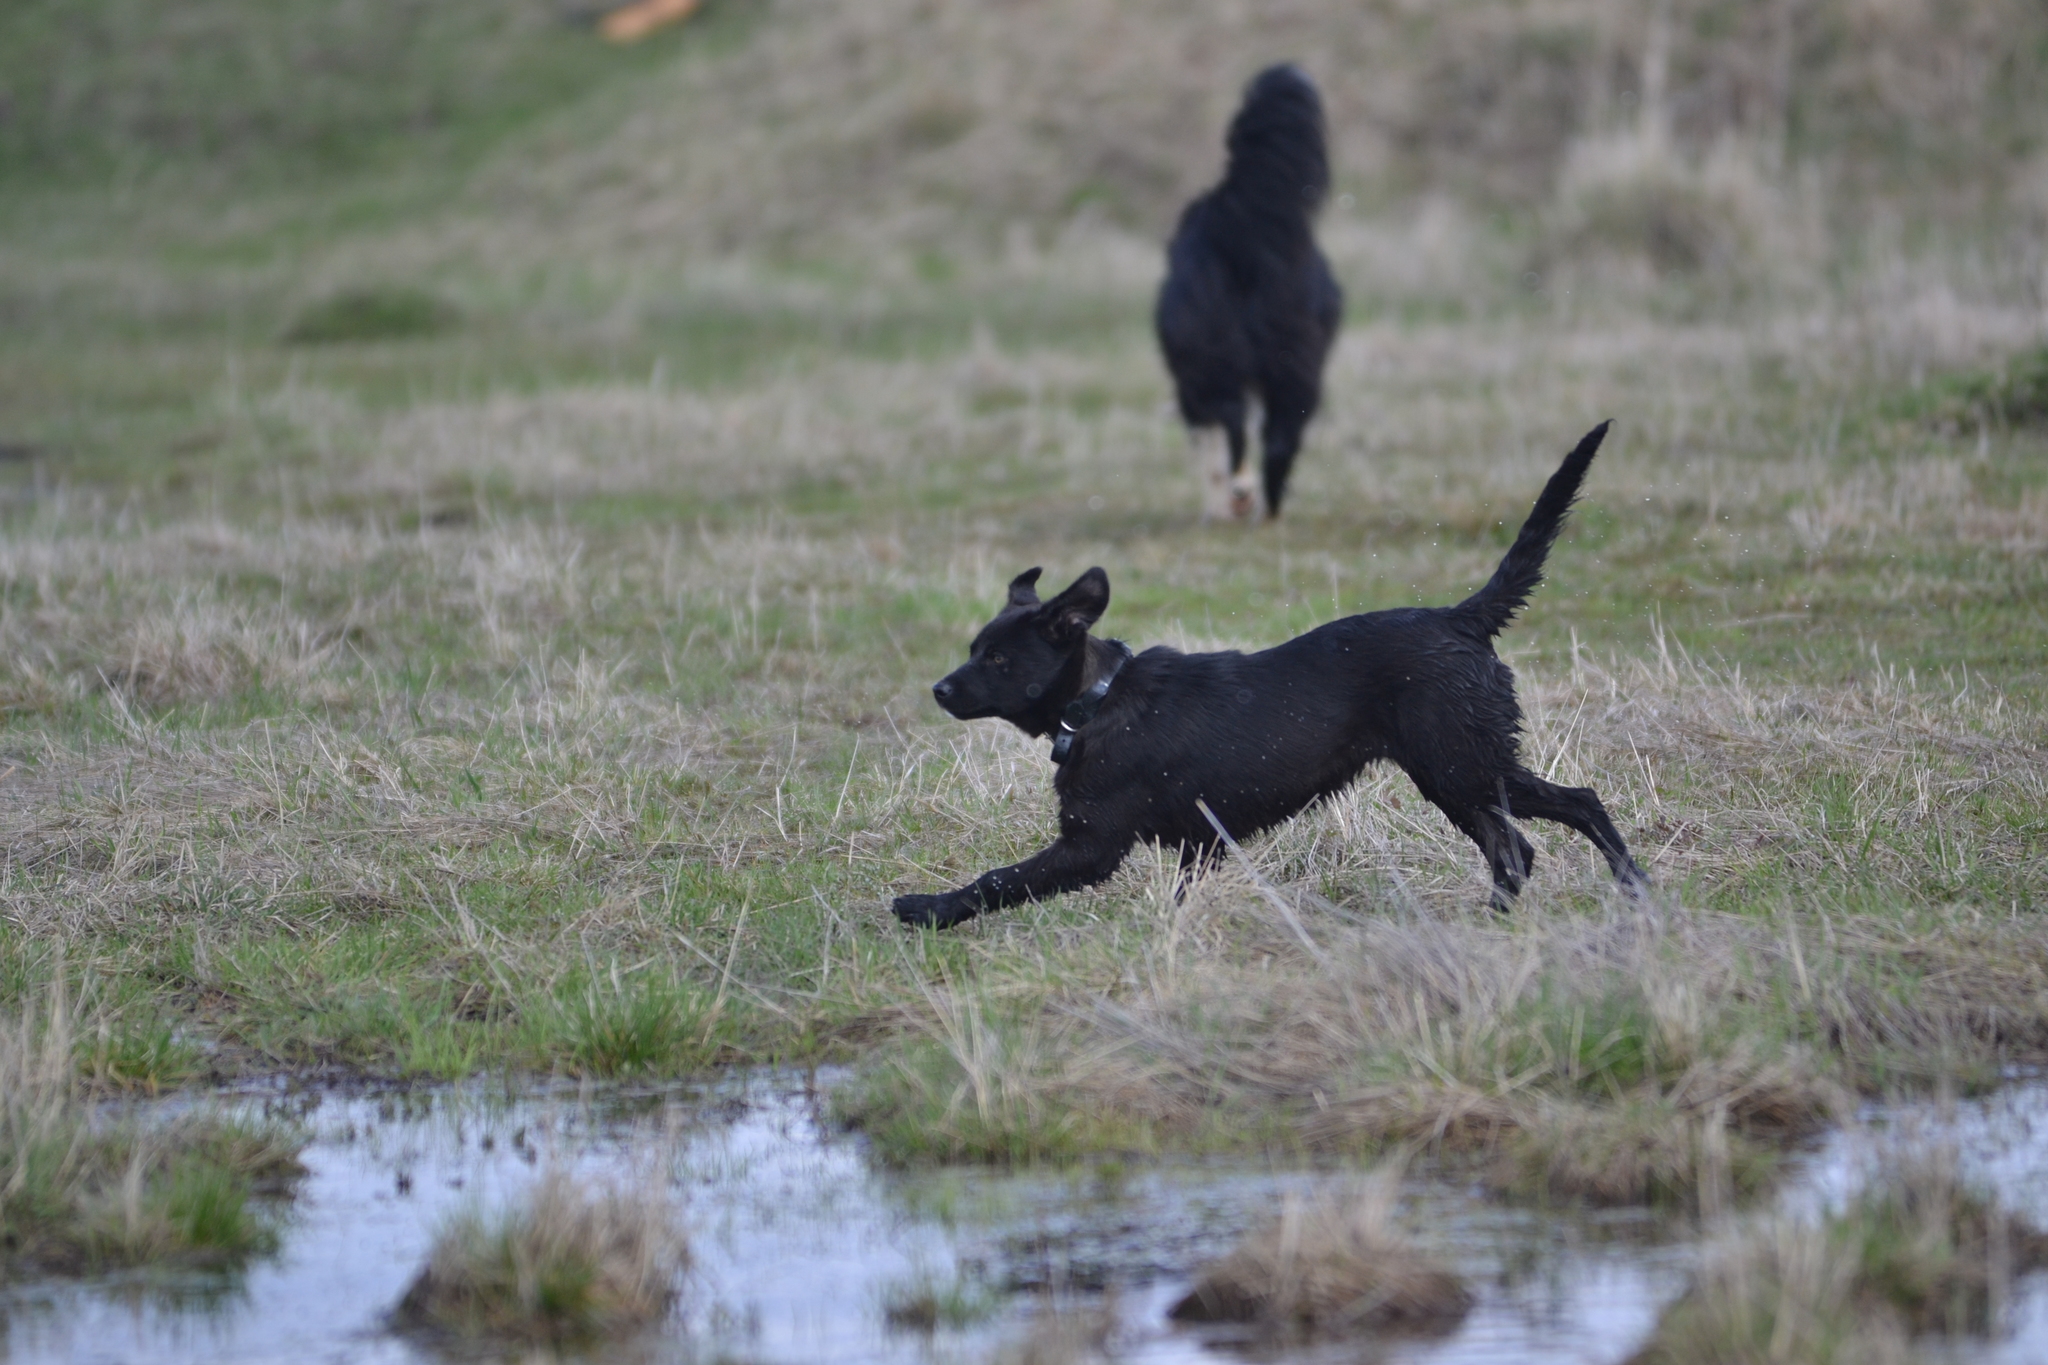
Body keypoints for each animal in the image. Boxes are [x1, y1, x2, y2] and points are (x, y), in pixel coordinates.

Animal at [897, 421, 1646, 933]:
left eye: (998, 659)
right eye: (974, 648)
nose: (939, 690)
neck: (1099, 700)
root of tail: (1461, 618)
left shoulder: (1091, 844)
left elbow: (1000, 879)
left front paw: (926, 908)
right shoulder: (1200, 842)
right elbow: (1180, 897)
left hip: (1464, 763)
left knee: (1579, 803)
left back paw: (1634, 888)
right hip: (1454, 774)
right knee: (1513, 847)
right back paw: (1492, 924)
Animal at [1155, 58, 1343, 519]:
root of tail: (1242, 232)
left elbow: (1213, 450)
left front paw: (1225, 500)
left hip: (1212, 361)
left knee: (1235, 426)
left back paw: (1243, 498)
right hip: (1297, 360)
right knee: (1280, 440)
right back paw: (1269, 509)